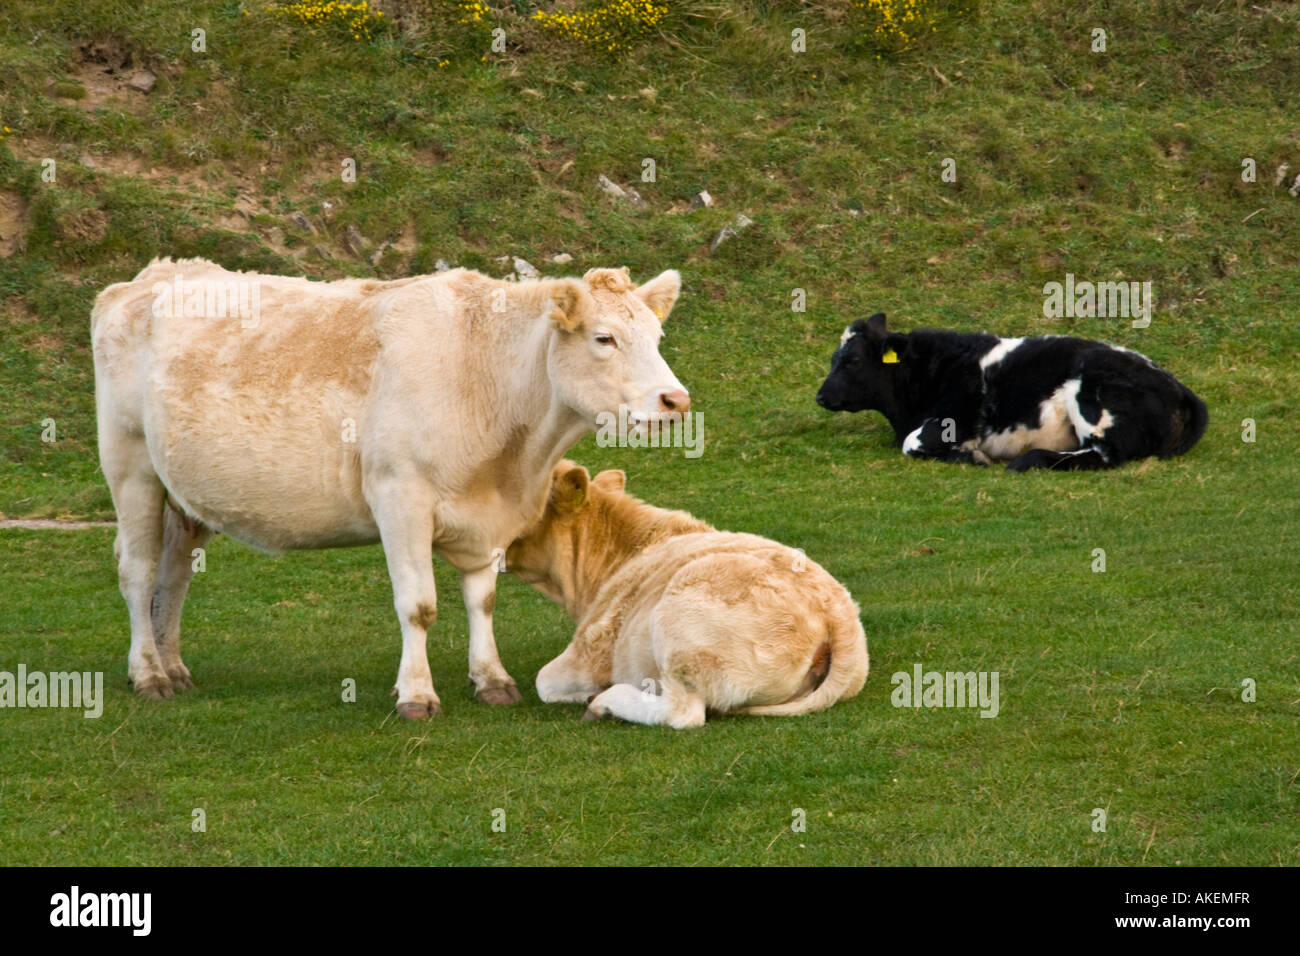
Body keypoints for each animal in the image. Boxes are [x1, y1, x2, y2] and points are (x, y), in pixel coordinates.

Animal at [91, 258, 689, 718]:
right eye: (604, 338)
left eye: (658, 338)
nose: (676, 401)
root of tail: (151, 274)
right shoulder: (400, 497)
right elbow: (418, 605)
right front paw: (417, 695)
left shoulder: (488, 515)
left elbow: (484, 599)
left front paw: (491, 679)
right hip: (131, 466)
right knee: (137, 570)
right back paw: (149, 674)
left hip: (184, 496)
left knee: (172, 575)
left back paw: (173, 666)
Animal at [505, 461, 869, 728]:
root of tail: (836, 613)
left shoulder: (591, 648)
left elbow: (544, 681)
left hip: (681, 625)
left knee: (683, 712)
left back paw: (605, 703)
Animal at [816, 313, 1207, 471]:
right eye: (834, 357)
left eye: (850, 360)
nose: (820, 396)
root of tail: (1175, 384)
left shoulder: (953, 420)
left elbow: (912, 443)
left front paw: (971, 457)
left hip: (1089, 398)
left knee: (1104, 455)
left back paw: (1028, 460)